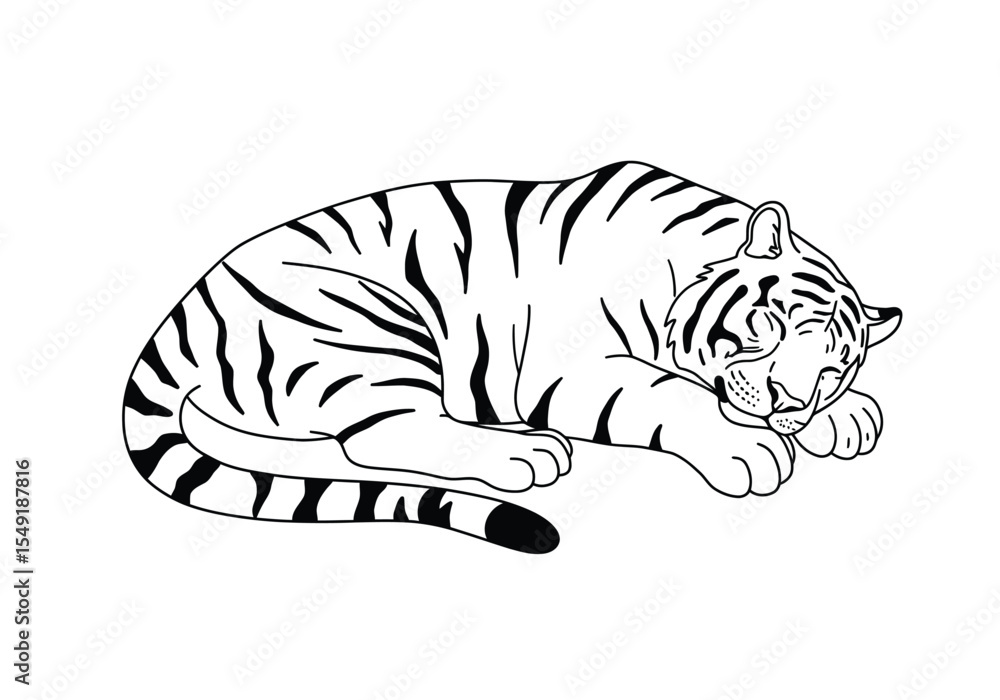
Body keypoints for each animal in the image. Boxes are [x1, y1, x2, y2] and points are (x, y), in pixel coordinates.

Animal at [122, 160, 901, 554]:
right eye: (771, 325)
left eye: (833, 367)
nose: (793, 403)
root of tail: (188, 305)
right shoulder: (573, 366)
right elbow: (669, 393)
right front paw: (749, 448)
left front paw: (845, 419)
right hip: (367, 319)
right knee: (381, 436)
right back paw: (525, 454)